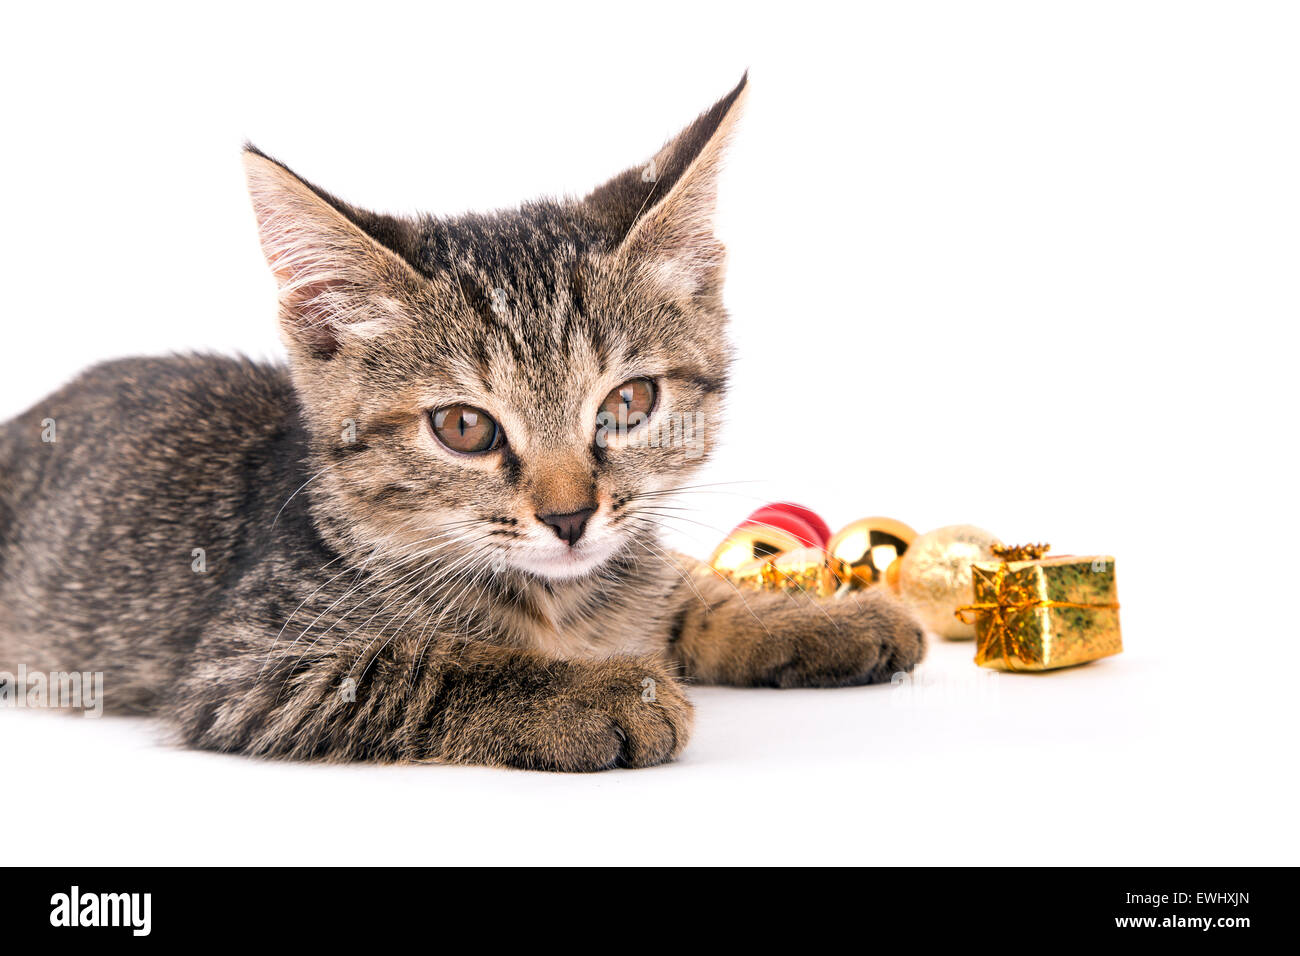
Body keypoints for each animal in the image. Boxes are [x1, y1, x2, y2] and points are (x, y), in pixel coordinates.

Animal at [0, 78, 925, 775]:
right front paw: (600, 694)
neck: (562, 604)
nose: (570, 517)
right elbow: (424, 664)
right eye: (464, 428)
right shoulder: (248, 666)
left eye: (627, 405)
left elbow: (685, 588)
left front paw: (819, 618)